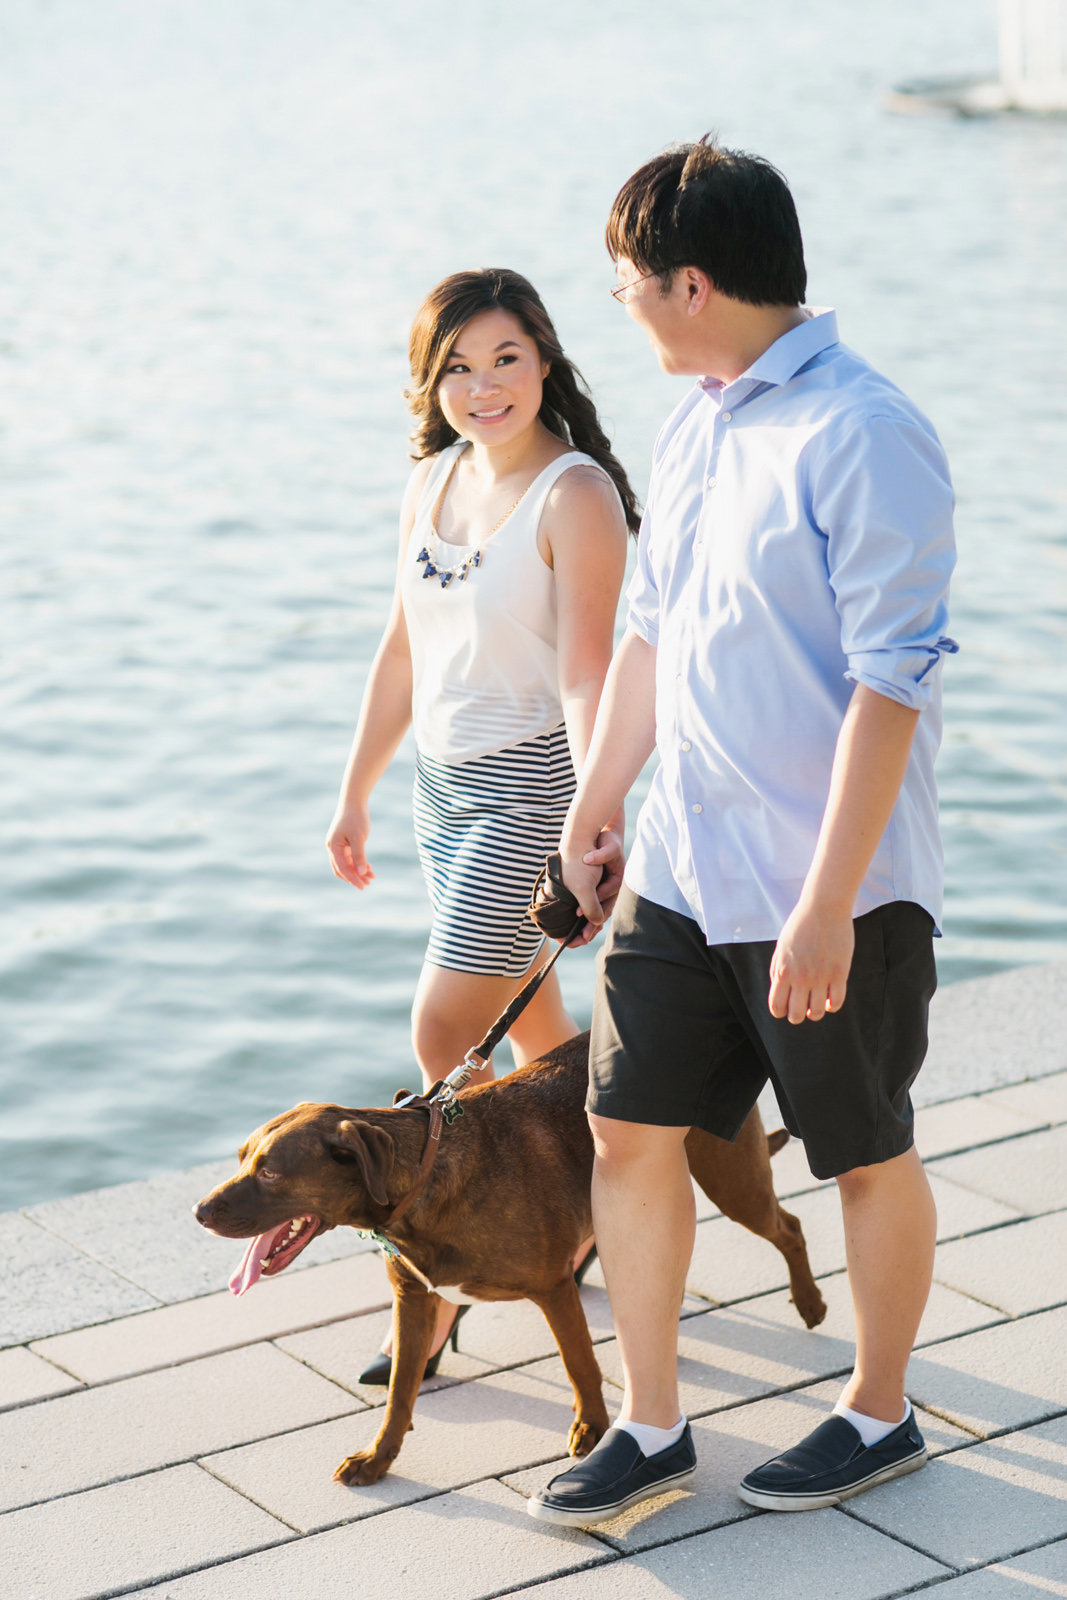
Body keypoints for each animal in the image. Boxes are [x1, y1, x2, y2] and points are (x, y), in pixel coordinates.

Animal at [194, 1036, 825, 1484]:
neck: (425, 1180)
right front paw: (380, 1458)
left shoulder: (553, 1289)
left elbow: (578, 1363)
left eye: (271, 1172)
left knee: (790, 1227)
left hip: (731, 1181)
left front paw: (594, 1430)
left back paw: (811, 1303)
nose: (198, 1211)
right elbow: (400, 1391)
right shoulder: (413, 1299)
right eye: (242, 1158)